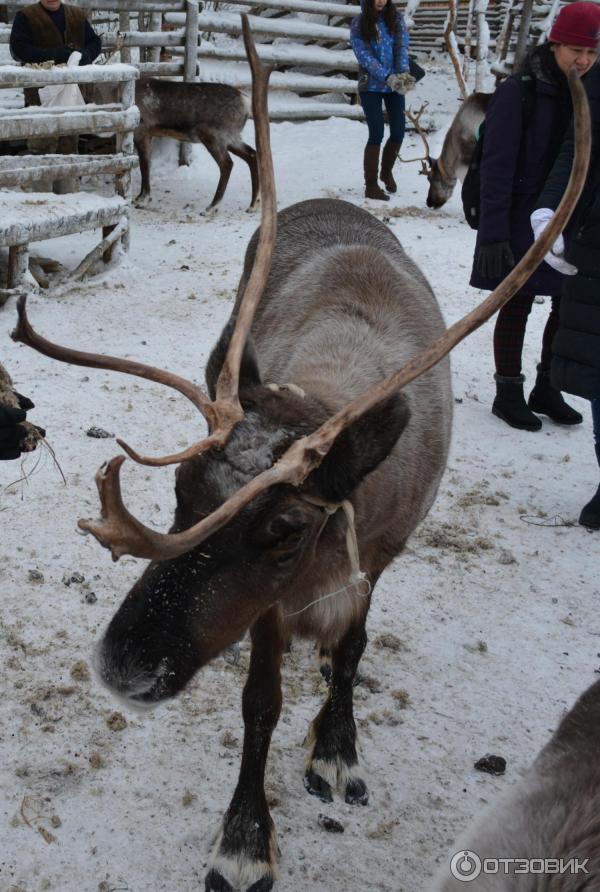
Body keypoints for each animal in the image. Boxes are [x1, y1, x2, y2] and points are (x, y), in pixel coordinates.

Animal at [134, 78, 258, 214]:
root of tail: (246, 102)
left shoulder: (141, 131)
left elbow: (144, 166)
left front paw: (143, 200)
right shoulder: (148, 135)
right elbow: (145, 164)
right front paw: (138, 198)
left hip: (214, 137)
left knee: (227, 164)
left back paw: (211, 207)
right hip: (231, 138)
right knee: (252, 154)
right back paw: (253, 205)